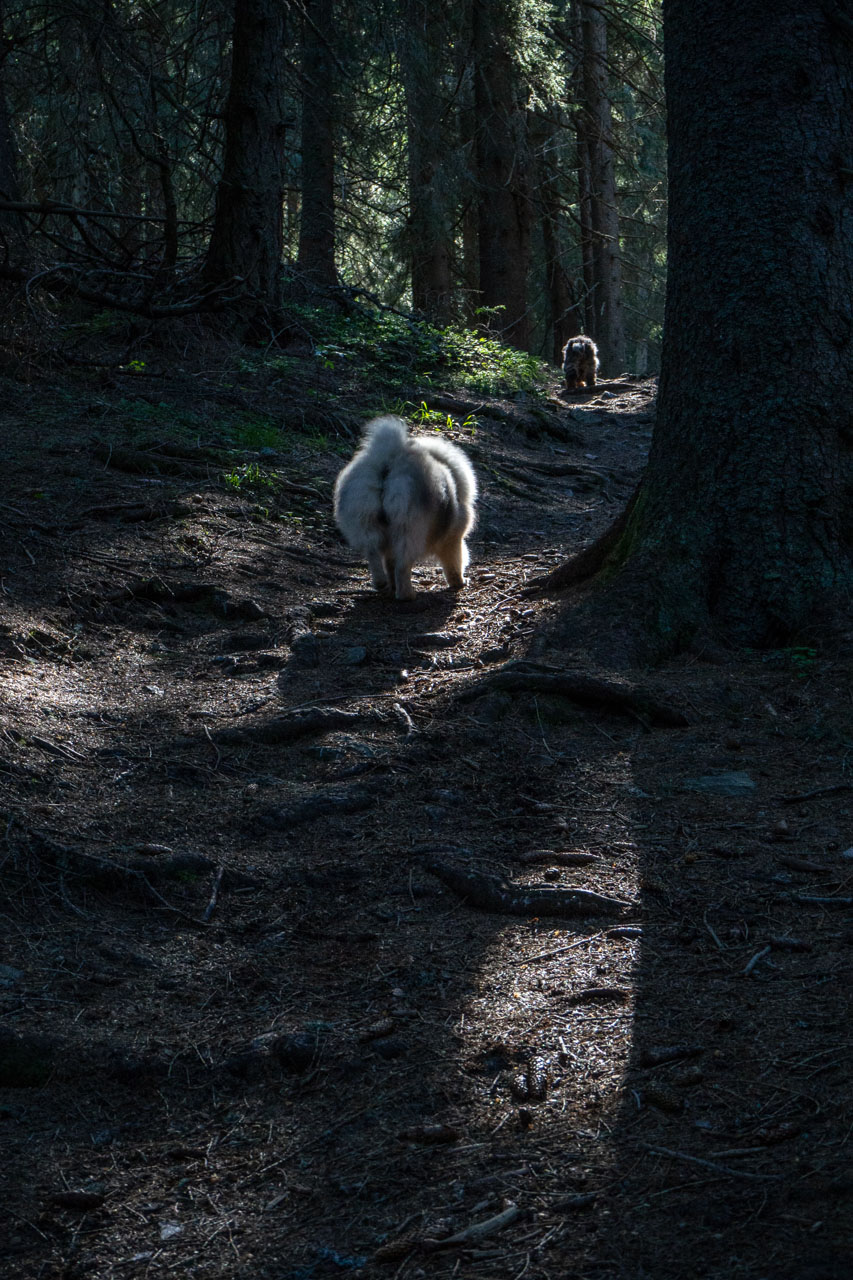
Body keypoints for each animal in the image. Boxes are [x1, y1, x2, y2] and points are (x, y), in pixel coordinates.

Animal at [333, 417, 479, 601]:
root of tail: (390, 460)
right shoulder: (453, 538)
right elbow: (454, 563)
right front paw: (459, 582)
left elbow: (389, 563)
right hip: (409, 529)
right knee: (403, 565)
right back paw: (407, 594)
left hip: (366, 519)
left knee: (374, 553)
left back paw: (382, 585)